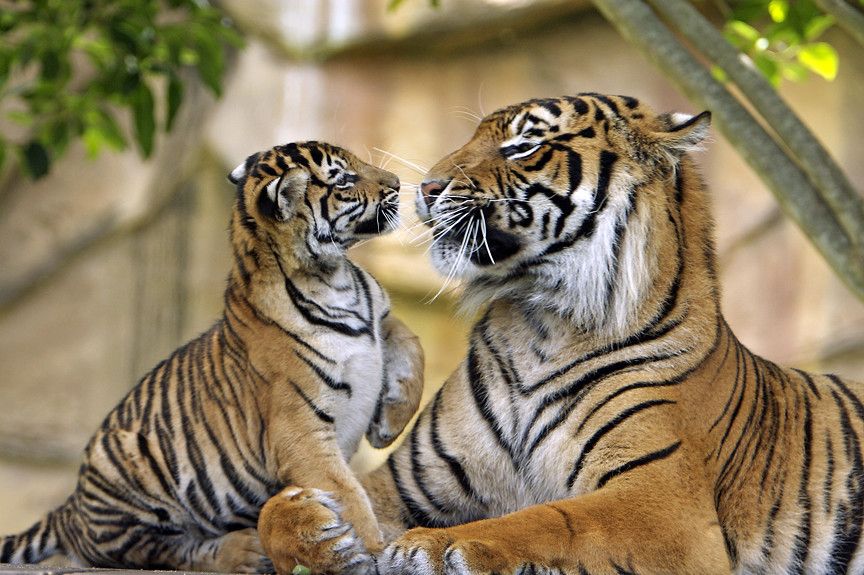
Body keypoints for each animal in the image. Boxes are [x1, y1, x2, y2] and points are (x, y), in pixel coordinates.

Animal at [0, 141, 424, 574]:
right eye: (343, 178)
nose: (397, 183)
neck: (336, 279)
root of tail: (70, 507)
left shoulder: (380, 321)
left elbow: (413, 345)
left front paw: (389, 422)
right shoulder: (300, 432)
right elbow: (347, 493)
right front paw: (373, 549)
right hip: (127, 465)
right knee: (162, 548)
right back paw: (244, 550)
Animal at [259, 95, 864, 575]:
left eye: (522, 146)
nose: (425, 188)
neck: (542, 322)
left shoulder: (663, 504)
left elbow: (549, 518)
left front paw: (431, 547)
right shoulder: (408, 481)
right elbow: (279, 508)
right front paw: (320, 528)